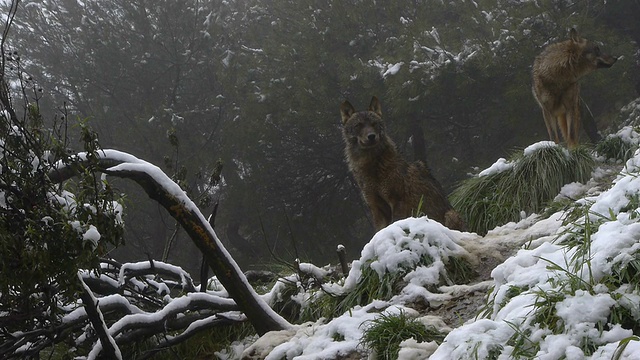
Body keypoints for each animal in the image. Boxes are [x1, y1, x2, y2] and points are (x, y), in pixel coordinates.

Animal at [340, 95, 464, 231]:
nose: (371, 136)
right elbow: (380, 230)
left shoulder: (398, 202)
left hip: (451, 214)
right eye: (359, 125)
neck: (372, 166)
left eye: (374, 124)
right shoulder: (376, 207)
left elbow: (396, 222)